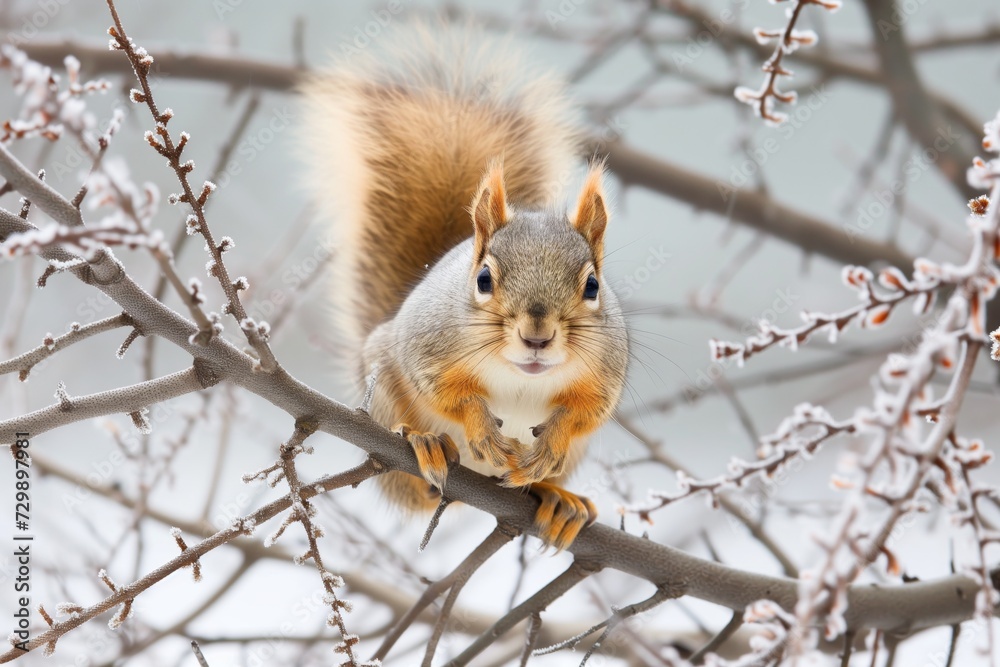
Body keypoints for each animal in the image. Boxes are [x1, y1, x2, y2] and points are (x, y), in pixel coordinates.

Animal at [299, 23, 629, 550]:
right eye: (484, 279)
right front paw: (479, 428)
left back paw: (558, 500)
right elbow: (448, 394)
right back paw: (425, 445)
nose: (537, 336)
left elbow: (586, 412)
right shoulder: (429, 349)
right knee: (415, 490)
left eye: (593, 286)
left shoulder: (604, 374)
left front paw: (551, 446)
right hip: (384, 394)